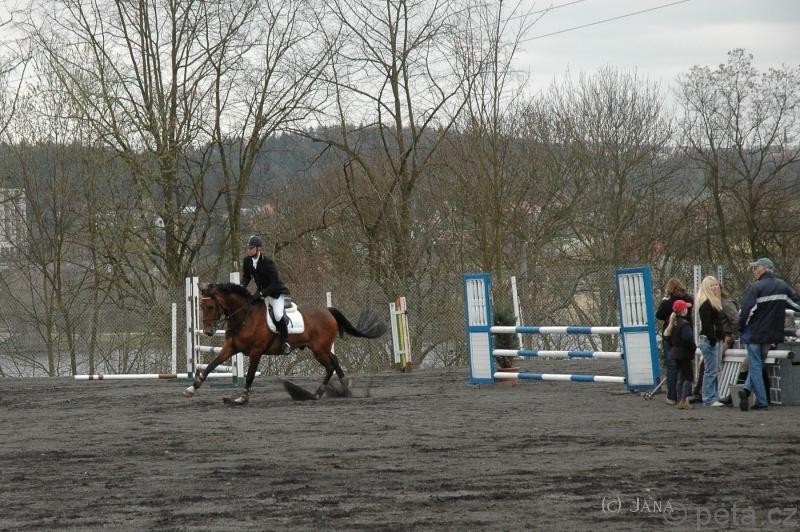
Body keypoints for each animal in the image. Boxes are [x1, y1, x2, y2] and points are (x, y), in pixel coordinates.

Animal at [182, 282, 388, 404]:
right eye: (200, 306)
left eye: (210, 306)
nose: (208, 331)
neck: (244, 317)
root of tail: (328, 311)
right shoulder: (230, 348)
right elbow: (211, 365)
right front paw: (192, 388)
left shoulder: (256, 351)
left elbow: (250, 375)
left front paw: (242, 398)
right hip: (321, 348)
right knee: (335, 361)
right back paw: (344, 387)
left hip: (319, 349)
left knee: (330, 366)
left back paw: (317, 394)